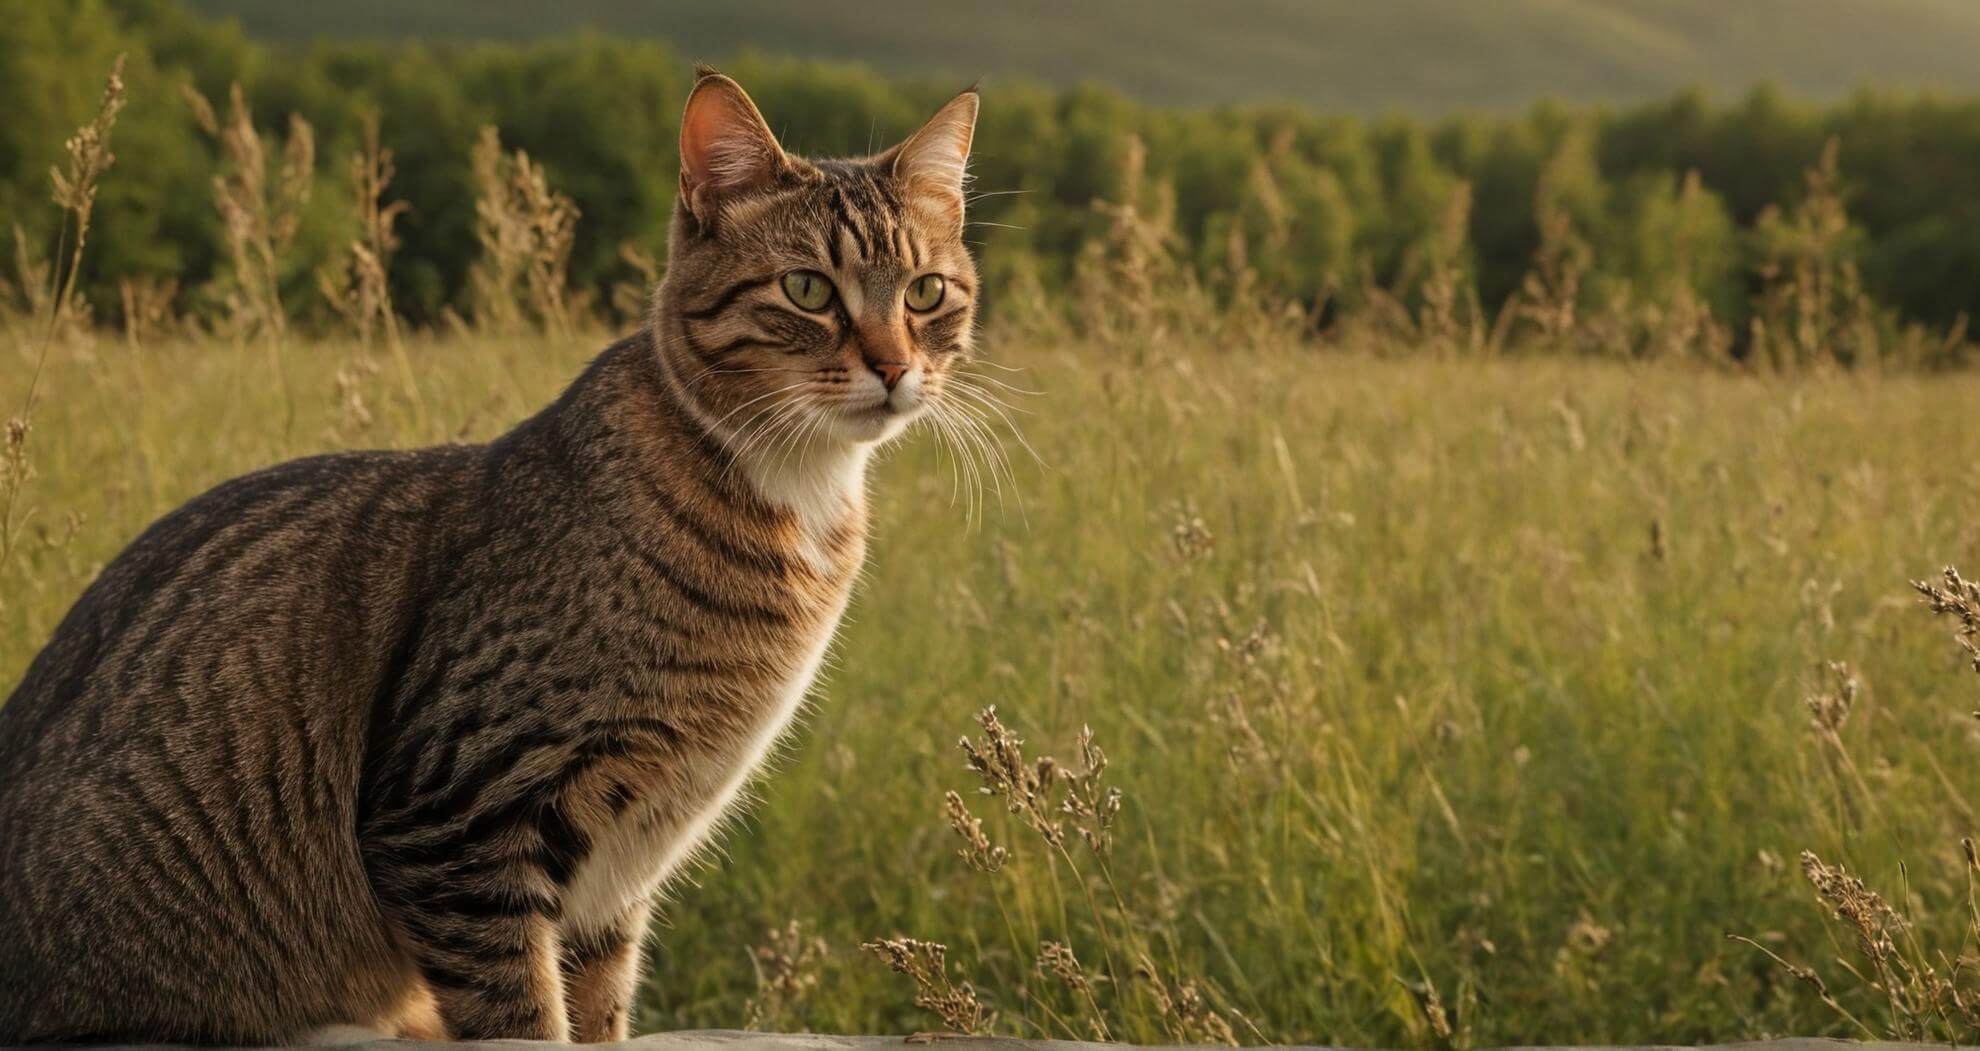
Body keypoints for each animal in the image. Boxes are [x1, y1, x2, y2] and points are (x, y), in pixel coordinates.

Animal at [0, 67, 986, 1045]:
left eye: (927, 292)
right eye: (808, 290)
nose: (895, 367)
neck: (798, 496)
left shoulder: (617, 873)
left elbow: (598, 1005)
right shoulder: (456, 818)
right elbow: (523, 1012)